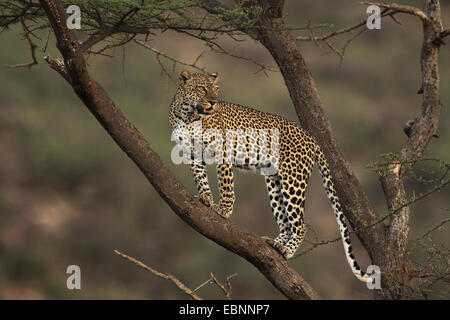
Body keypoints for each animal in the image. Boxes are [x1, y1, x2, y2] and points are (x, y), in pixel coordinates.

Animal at [170, 69, 372, 282]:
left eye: (216, 89)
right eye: (202, 88)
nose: (213, 102)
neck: (188, 115)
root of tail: (310, 137)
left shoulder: (223, 151)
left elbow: (225, 185)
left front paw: (223, 209)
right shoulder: (191, 152)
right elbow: (200, 177)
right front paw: (205, 198)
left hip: (293, 179)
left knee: (300, 224)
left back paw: (287, 250)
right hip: (274, 182)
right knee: (285, 221)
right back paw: (275, 244)